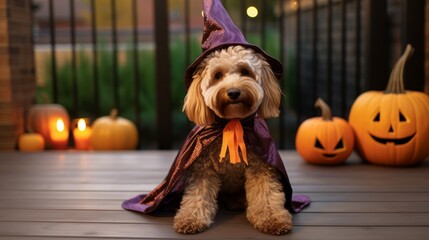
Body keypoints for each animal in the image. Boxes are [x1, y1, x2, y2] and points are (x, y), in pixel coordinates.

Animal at [174, 45, 290, 234]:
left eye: (245, 71)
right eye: (218, 75)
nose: (234, 92)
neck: (232, 122)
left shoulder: (261, 167)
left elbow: (266, 194)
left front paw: (272, 218)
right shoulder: (202, 169)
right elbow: (198, 195)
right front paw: (190, 218)